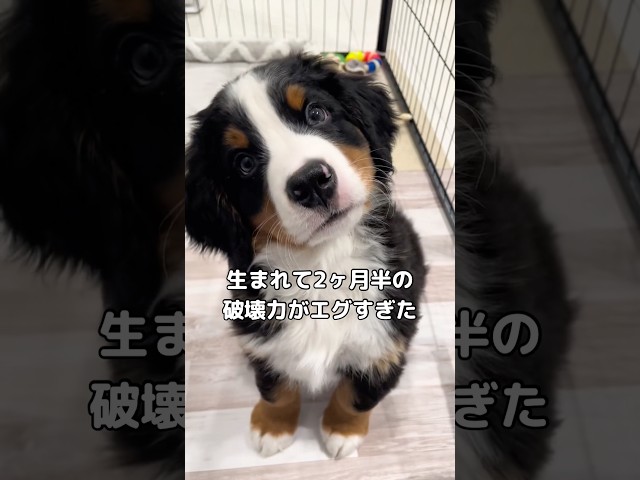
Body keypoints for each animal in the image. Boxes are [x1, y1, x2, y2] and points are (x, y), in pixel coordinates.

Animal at [186, 53, 427, 458]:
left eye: (316, 113)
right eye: (244, 163)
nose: (312, 181)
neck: (322, 264)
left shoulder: (386, 343)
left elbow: (356, 395)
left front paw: (342, 431)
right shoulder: (262, 339)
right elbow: (277, 389)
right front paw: (272, 427)